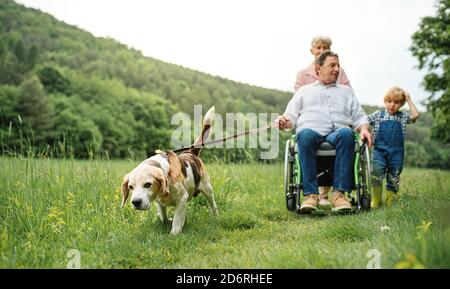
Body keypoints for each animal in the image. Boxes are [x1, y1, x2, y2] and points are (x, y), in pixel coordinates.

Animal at [119, 106, 218, 234]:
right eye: (131, 187)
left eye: (147, 184)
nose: (136, 202)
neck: (167, 173)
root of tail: (190, 152)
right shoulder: (159, 201)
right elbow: (163, 216)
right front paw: (167, 221)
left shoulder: (182, 199)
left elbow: (177, 219)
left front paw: (175, 232)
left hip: (207, 189)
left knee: (213, 205)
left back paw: (215, 216)